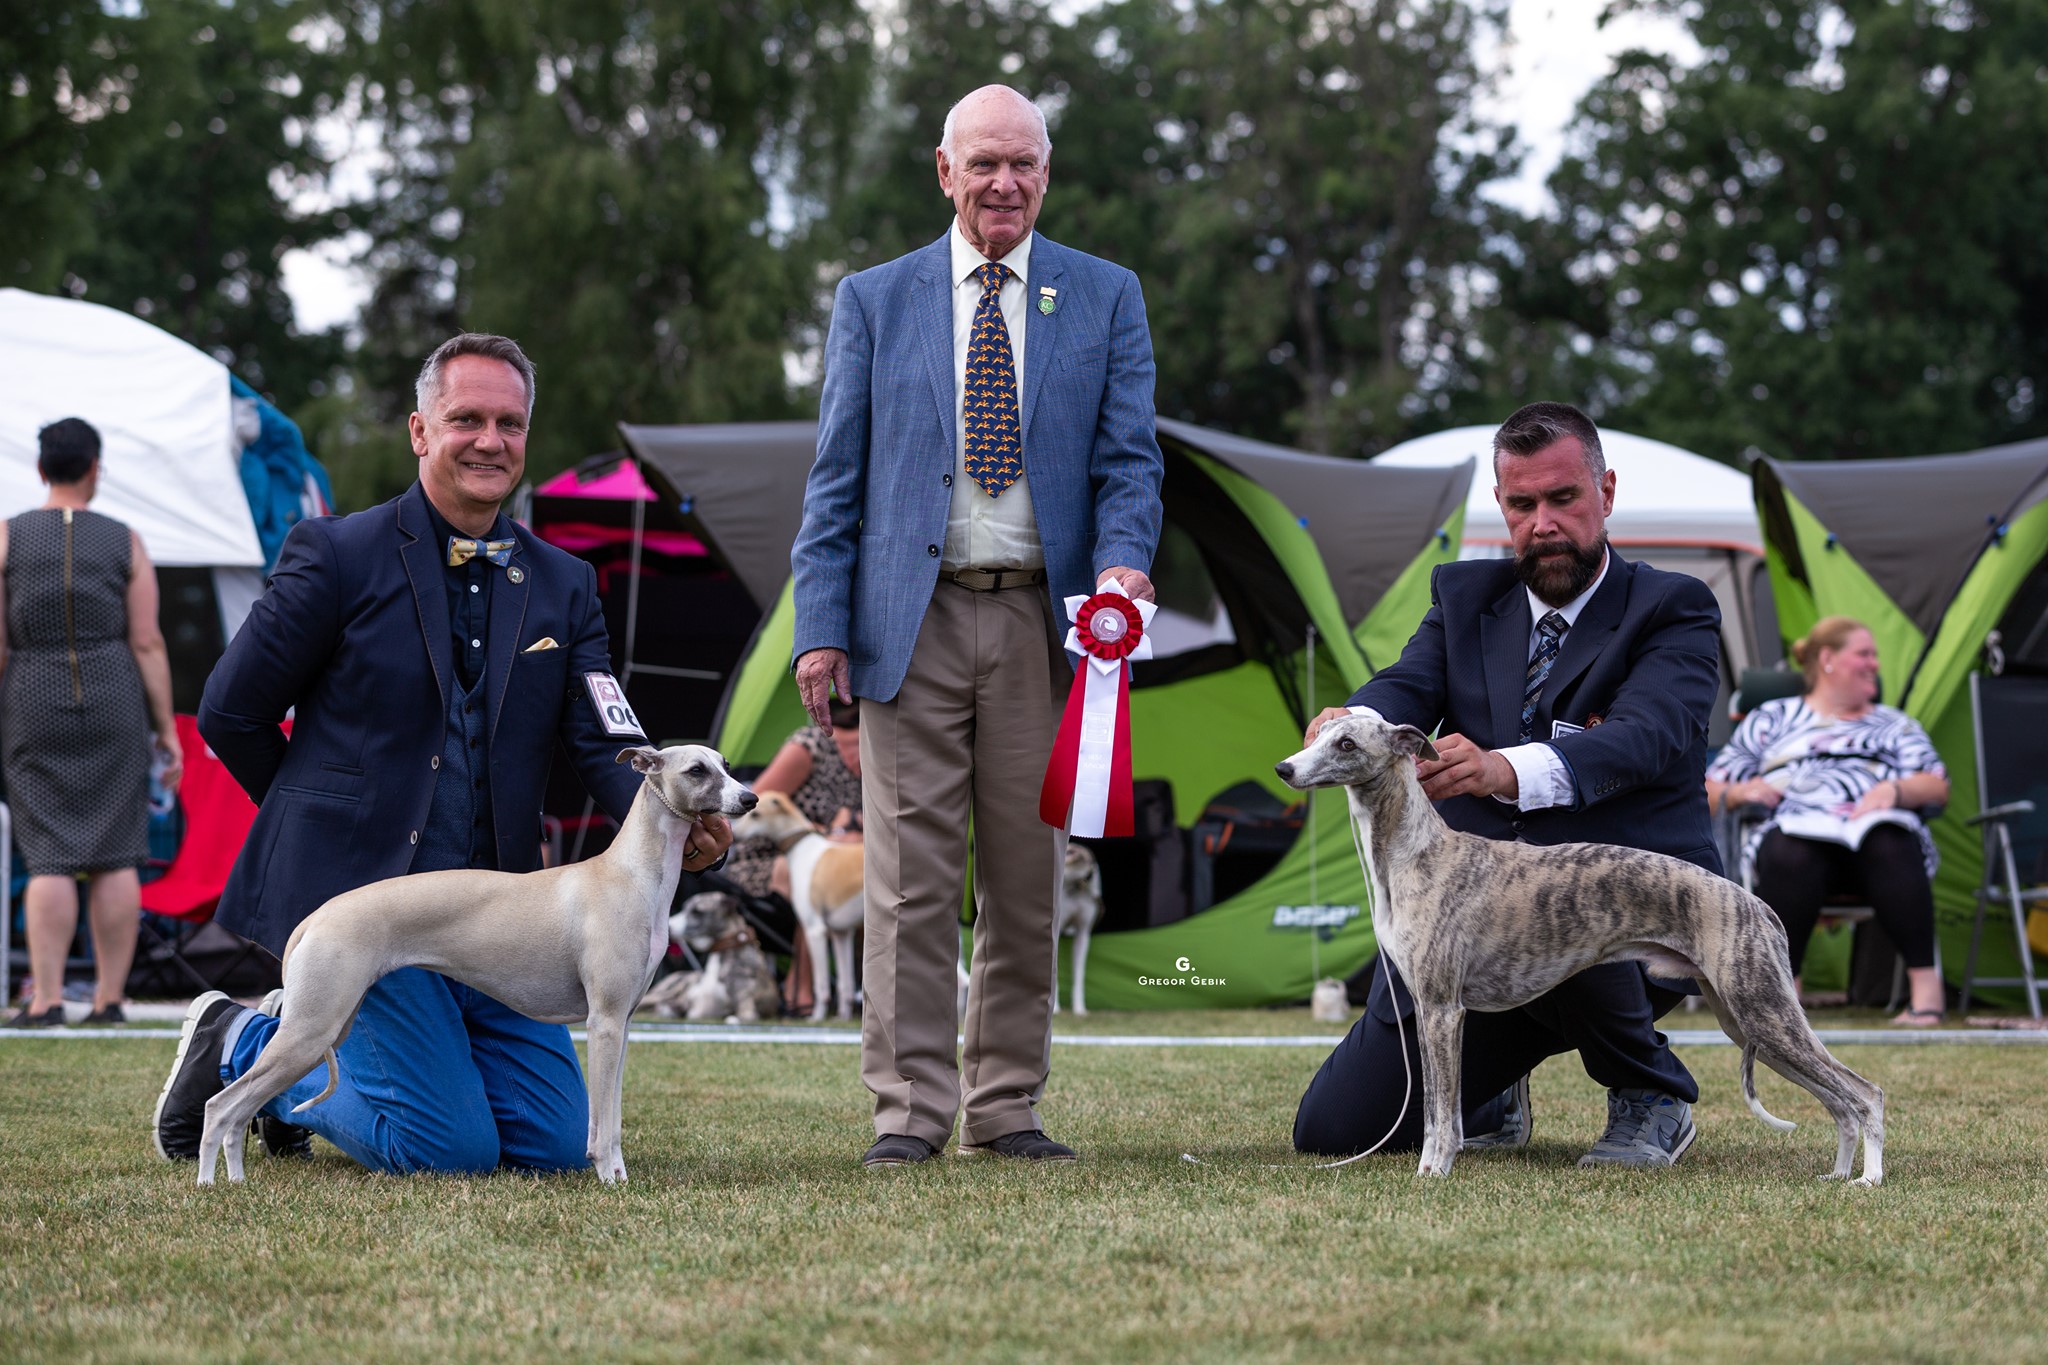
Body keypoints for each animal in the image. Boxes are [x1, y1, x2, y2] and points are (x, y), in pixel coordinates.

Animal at [188, 749, 753, 1186]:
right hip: (313, 1028)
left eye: (726, 765)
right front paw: (610, 1177)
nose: (749, 798)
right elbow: (603, 1124)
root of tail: (315, 916)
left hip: (330, 1022)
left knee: (243, 1109)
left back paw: (235, 1180)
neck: (631, 874)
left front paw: (614, 1173)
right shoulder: (605, 1023)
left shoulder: (624, 1023)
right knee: (222, 1106)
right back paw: (209, 1184)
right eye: (697, 770)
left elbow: (609, 1115)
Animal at [733, 785, 860, 1019]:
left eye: (756, 814)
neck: (804, 849)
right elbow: (845, 985)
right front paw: (843, 1017)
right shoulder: (841, 933)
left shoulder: (814, 930)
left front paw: (817, 1017)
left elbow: (821, 985)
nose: (734, 836)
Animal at [1277, 716, 1884, 1186]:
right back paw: (1837, 1174)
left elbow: (1441, 1112)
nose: (1285, 768)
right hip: (1747, 1019)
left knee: (1866, 1093)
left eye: (1347, 744)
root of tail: (1757, 905)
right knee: (1839, 1103)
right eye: (1319, 733)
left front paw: (1433, 1170)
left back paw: (1869, 1179)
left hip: (1765, 1012)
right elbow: (1436, 1106)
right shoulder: (1430, 1010)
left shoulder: (1443, 1009)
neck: (1418, 853)